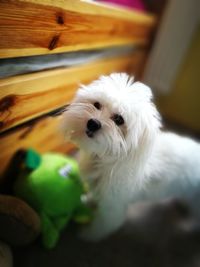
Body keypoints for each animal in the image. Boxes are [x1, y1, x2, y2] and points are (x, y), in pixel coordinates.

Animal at [63, 73, 200, 243]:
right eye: (97, 104)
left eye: (119, 120)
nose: (93, 123)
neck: (106, 159)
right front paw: (87, 200)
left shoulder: (113, 208)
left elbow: (102, 225)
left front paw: (88, 234)